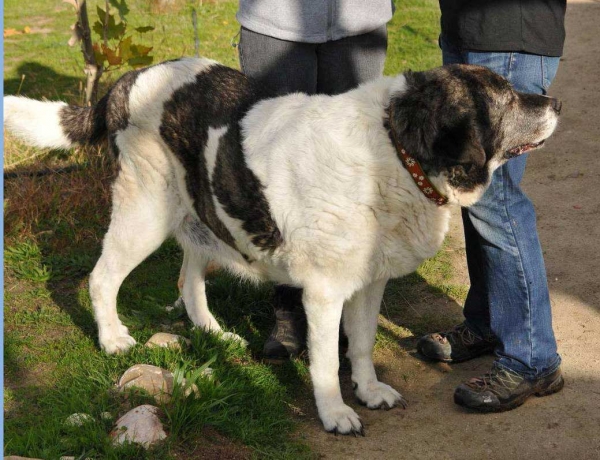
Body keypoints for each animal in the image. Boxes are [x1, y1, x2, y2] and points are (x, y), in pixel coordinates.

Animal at [2, 58, 560, 434]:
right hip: (145, 213)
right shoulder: (325, 293)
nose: (555, 102)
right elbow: (324, 362)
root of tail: (128, 79)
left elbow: (360, 344)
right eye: (503, 94)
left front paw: (369, 391)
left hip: (206, 214)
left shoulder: (369, 282)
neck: (397, 152)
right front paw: (335, 413)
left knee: (187, 277)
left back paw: (213, 332)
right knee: (102, 277)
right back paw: (113, 339)